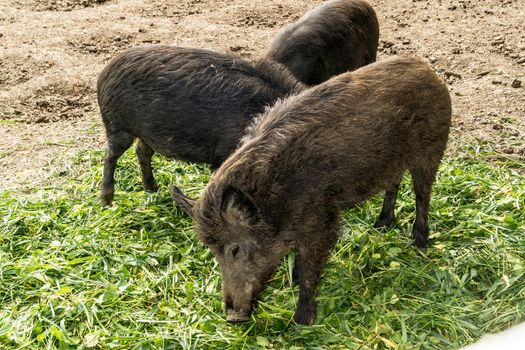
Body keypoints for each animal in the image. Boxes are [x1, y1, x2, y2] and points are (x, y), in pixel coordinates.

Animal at [97, 45, 302, 206]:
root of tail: (104, 73)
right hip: (117, 125)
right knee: (110, 154)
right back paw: (107, 202)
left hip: (147, 133)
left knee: (142, 151)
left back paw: (152, 189)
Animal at [174, 55, 452, 326]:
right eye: (212, 252)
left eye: (235, 249)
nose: (232, 317)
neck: (273, 199)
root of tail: (428, 70)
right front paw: (294, 279)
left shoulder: (321, 220)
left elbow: (310, 269)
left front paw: (302, 321)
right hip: (390, 161)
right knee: (393, 183)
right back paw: (381, 224)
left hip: (432, 148)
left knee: (422, 194)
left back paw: (419, 242)